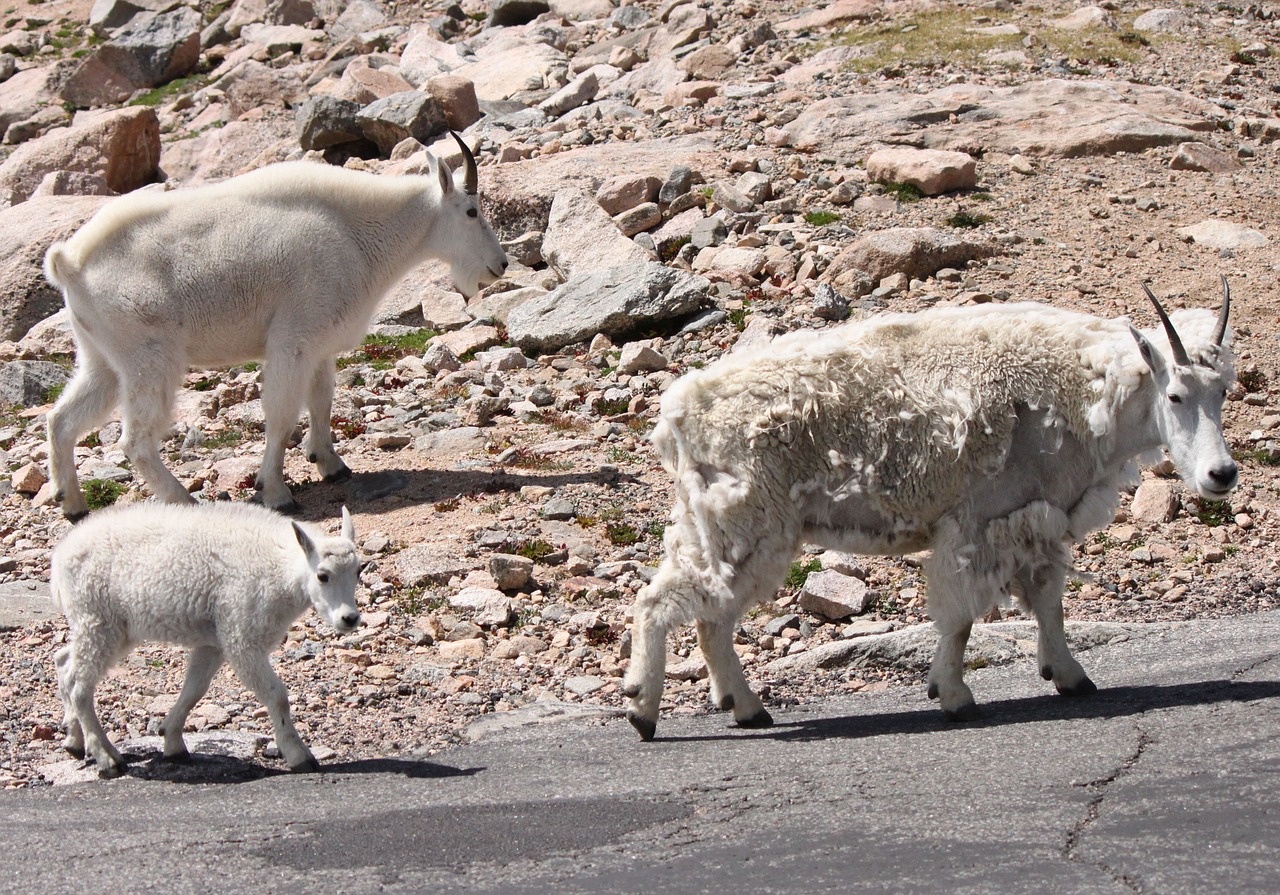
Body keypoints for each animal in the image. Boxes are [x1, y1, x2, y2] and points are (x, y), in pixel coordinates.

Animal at [46, 136, 504, 522]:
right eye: (471, 212)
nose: (500, 265)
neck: (357, 235)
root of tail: (70, 265)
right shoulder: (293, 341)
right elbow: (282, 415)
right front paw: (276, 492)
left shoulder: (320, 345)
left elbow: (321, 402)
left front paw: (331, 465)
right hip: (150, 358)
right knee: (136, 440)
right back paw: (184, 501)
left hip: (102, 359)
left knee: (61, 420)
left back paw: (73, 504)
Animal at [49, 504, 360, 778]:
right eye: (322, 575)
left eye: (359, 571)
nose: (350, 619)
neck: (280, 571)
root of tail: (60, 556)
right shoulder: (241, 638)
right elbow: (277, 696)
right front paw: (299, 756)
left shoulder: (214, 642)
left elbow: (194, 690)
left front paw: (172, 742)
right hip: (98, 621)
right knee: (79, 686)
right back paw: (107, 758)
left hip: (111, 628)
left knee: (65, 664)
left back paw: (74, 741)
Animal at [624, 282, 1233, 737]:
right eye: (1175, 395)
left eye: (1223, 391)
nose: (1221, 475)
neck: (1087, 396)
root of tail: (676, 411)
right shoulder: (977, 523)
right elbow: (961, 617)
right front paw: (954, 695)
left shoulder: (1035, 516)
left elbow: (1048, 603)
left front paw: (1070, 676)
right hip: (747, 522)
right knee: (664, 602)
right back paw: (643, 710)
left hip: (724, 525)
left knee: (710, 617)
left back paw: (744, 707)